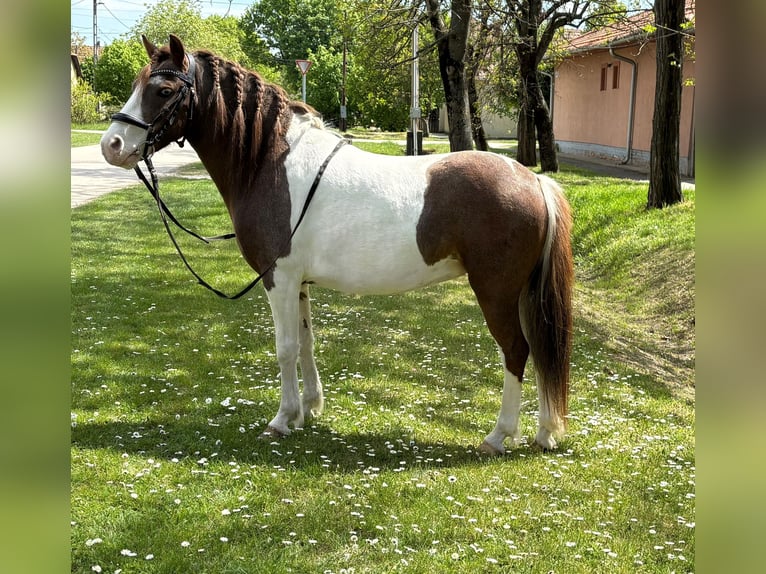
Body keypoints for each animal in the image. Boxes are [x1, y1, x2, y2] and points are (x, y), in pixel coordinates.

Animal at [100, 35, 574, 454]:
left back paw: (499, 435)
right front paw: (307, 410)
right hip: (522, 293)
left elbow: (285, 348)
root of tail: (533, 179)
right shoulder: (298, 284)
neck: (269, 162)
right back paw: (545, 432)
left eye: (163, 90)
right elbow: (306, 343)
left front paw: (280, 420)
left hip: (496, 291)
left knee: (517, 351)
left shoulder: (278, 279)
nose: (112, 145)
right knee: (540, 349)